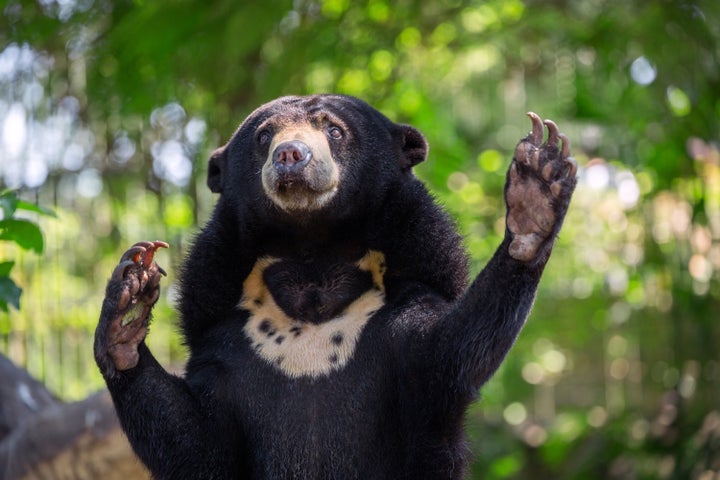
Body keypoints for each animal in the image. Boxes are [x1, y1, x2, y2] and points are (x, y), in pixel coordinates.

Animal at [95, 92, 580, 478]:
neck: (313, 259)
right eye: (264, 137)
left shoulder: (408, 301)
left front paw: (537, 189)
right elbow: (197, 442)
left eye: (334, 129)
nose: (291, 155)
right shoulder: (223, 335)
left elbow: (449, 350)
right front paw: (129, 299)